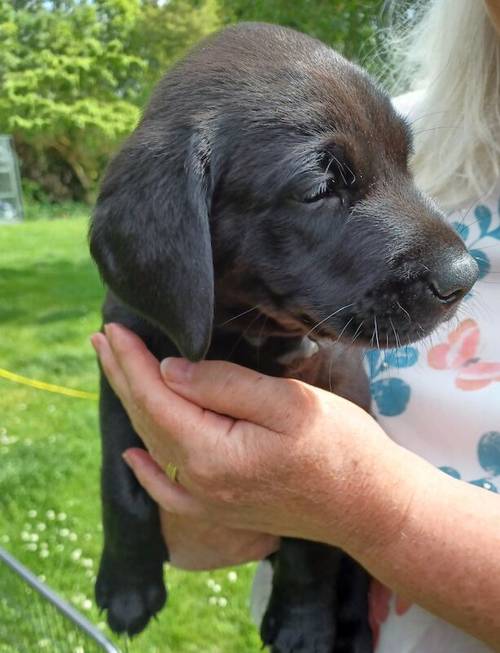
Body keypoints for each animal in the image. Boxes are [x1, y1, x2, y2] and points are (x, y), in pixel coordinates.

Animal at [88, 21, 478, 652]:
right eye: (318, 189)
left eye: (406, 163)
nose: (464, 277)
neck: (241, 339)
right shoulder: (119, 377)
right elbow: (119, 483)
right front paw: (127, 586)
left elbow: (310, 544)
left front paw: (303, 624)